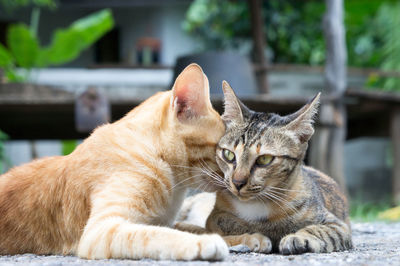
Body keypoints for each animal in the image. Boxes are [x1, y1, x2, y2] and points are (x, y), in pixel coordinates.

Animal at [0, 64, 230, 260]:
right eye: (225, 153)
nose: (233, 182)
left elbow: (177, 227)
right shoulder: (101, 231)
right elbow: (156, 234)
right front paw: (204, 242)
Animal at [177, 81, 352, 256]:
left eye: (264, 159)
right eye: (228, 154)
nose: (237, 182)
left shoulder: (338, 225)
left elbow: (322, 230)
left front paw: (298, 237)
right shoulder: (216, 216)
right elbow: (224, 221)